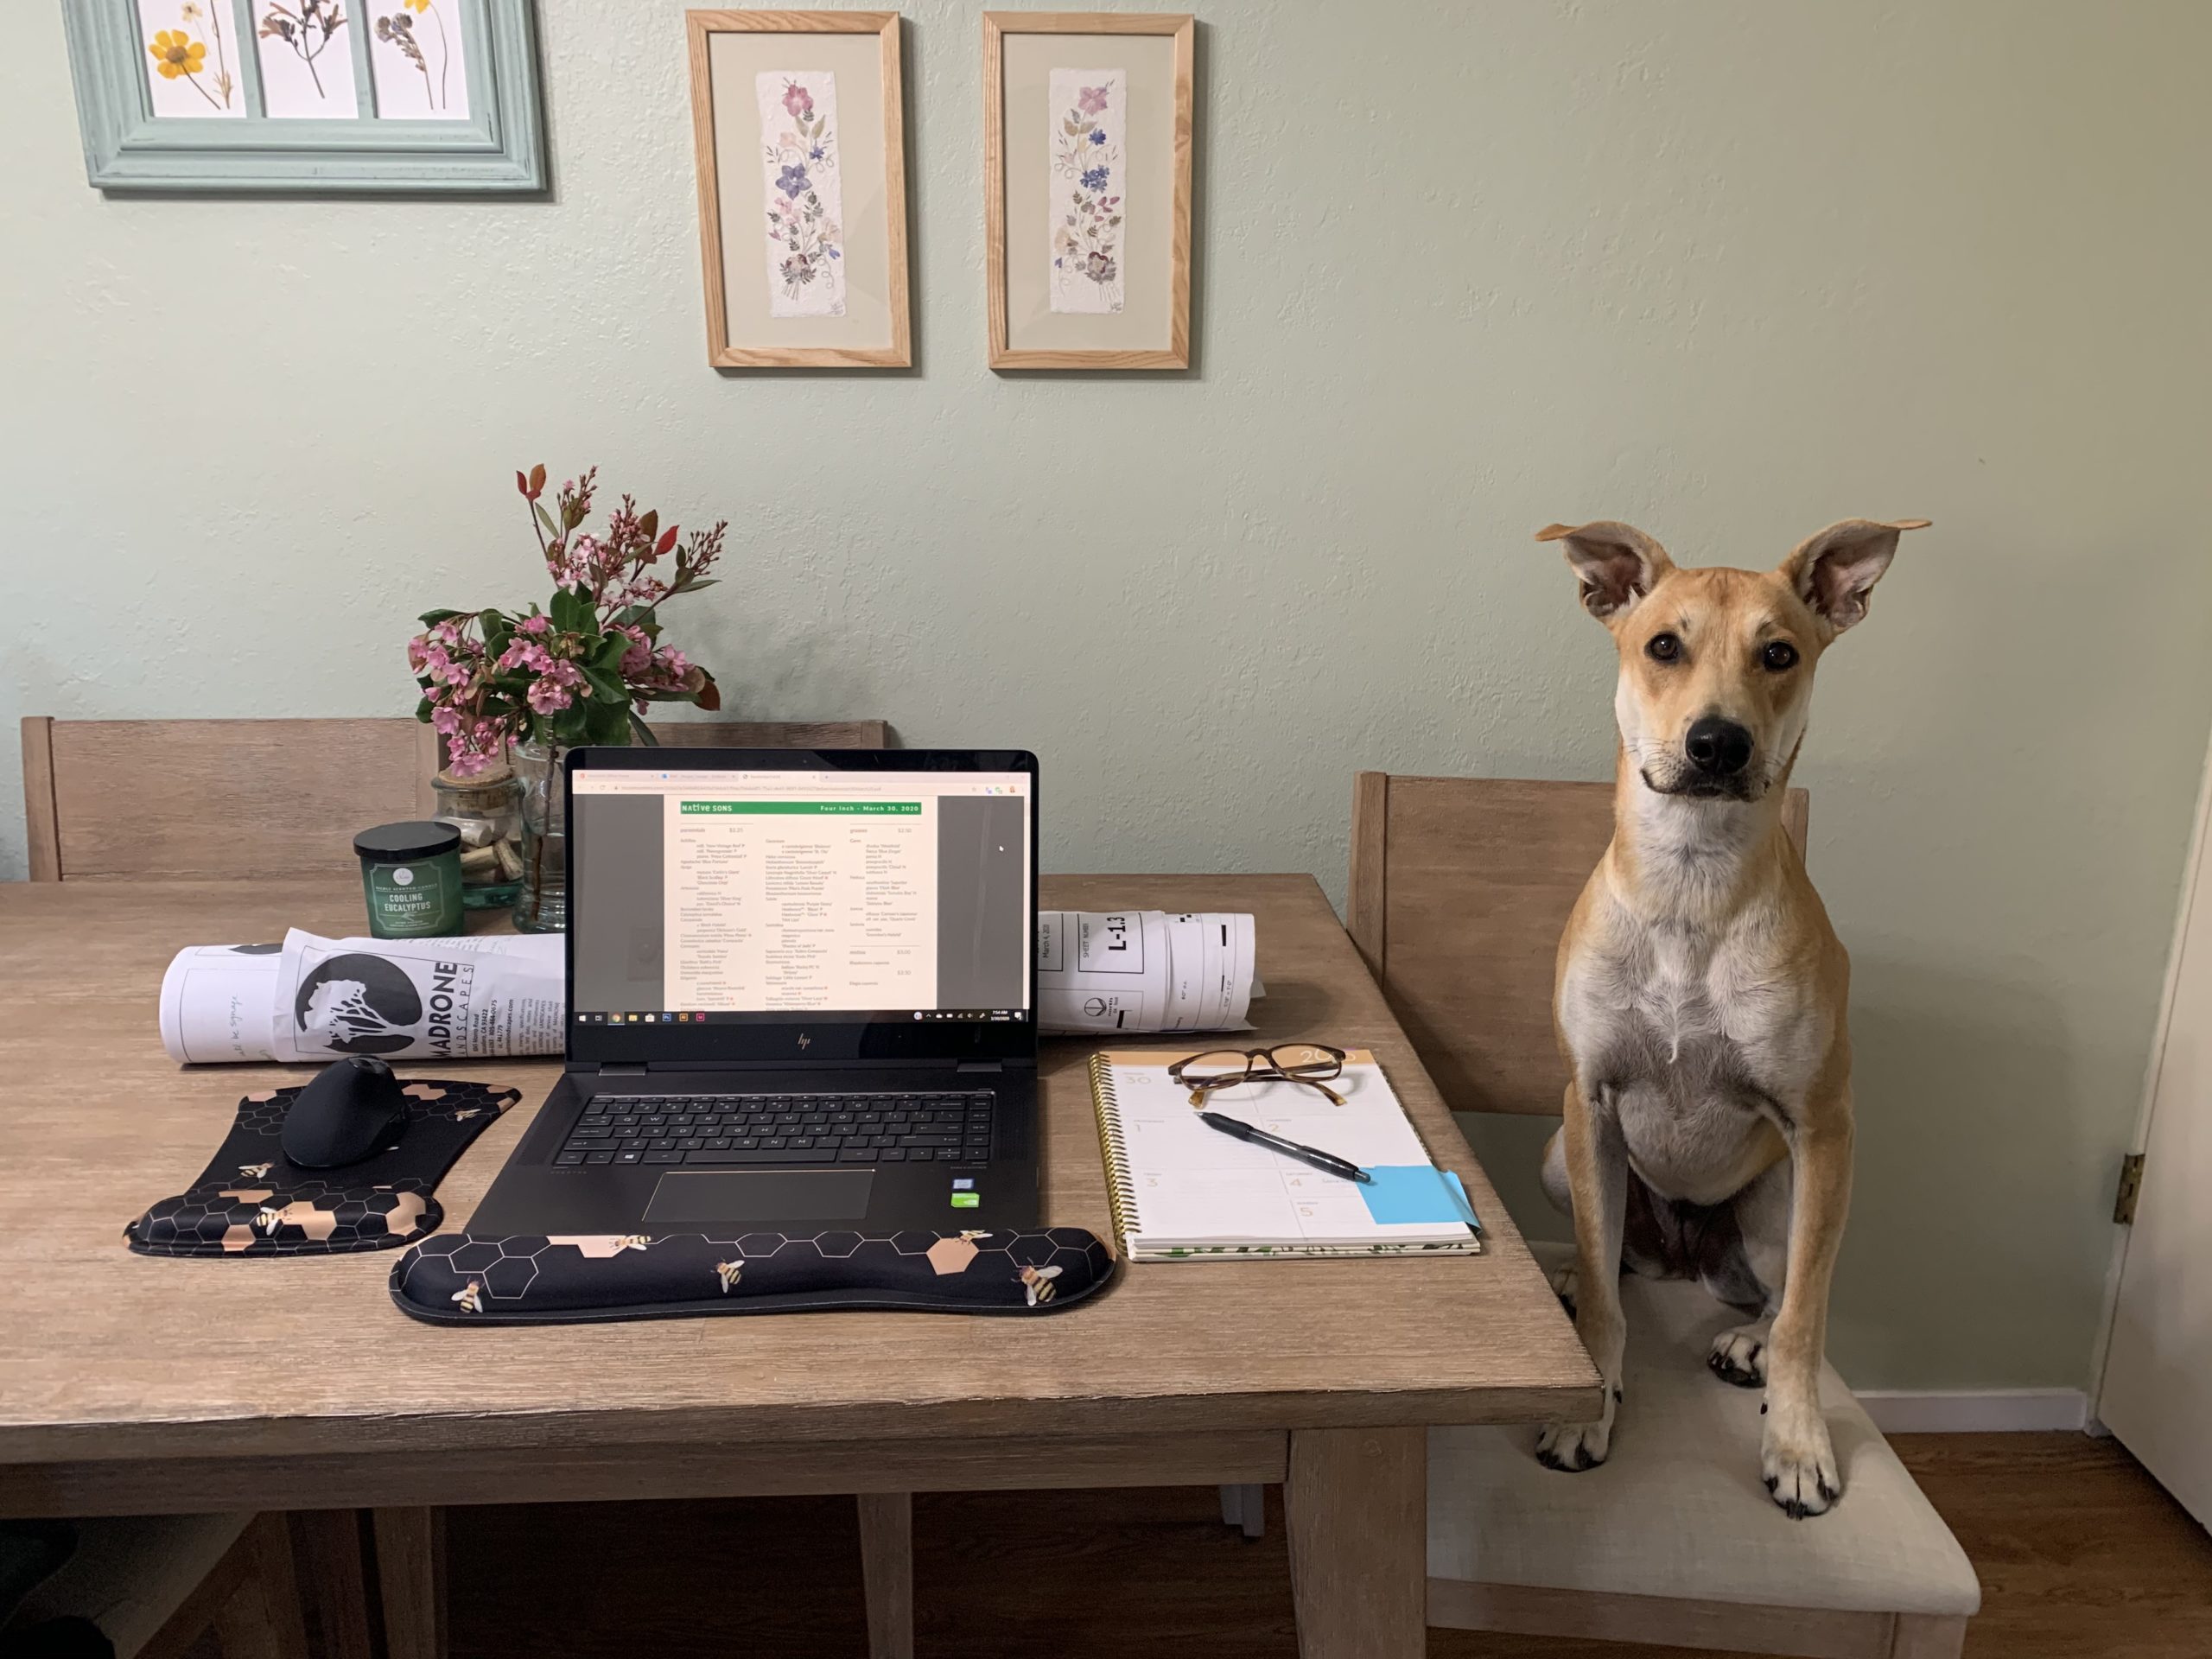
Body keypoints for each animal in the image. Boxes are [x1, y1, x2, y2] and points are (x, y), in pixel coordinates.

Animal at [1539, 519, 1920, 1522]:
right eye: (1662, 646)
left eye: (1779, 653)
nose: (1717, 743)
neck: (1691, 882)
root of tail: (1684, 1253)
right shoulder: (1589, 1099)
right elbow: (1606, 1296)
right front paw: (1588, 1401)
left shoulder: (1823, 1125)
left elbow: (1807, 1320)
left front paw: (1797, 1445)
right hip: (1563, 1159)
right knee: (1617, 1262)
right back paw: (1575, 1274)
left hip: (1787, 1196)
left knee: (1780, 1296)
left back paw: (1746, 1341)